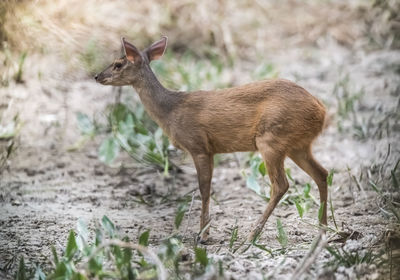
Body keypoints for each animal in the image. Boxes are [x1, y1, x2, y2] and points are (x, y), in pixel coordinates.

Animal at [94, 36, 328, 243]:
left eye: (117, 64)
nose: (97, 76)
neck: (171, 110)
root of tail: (321, 110)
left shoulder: (198, 146)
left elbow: (204, 189)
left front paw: (203, 236)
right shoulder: (211, 150)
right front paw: (204, 232)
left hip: (271, 139)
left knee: (281, 185)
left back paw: (250, 238)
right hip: (297, 145)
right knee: (322, 174)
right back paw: (323, 230)